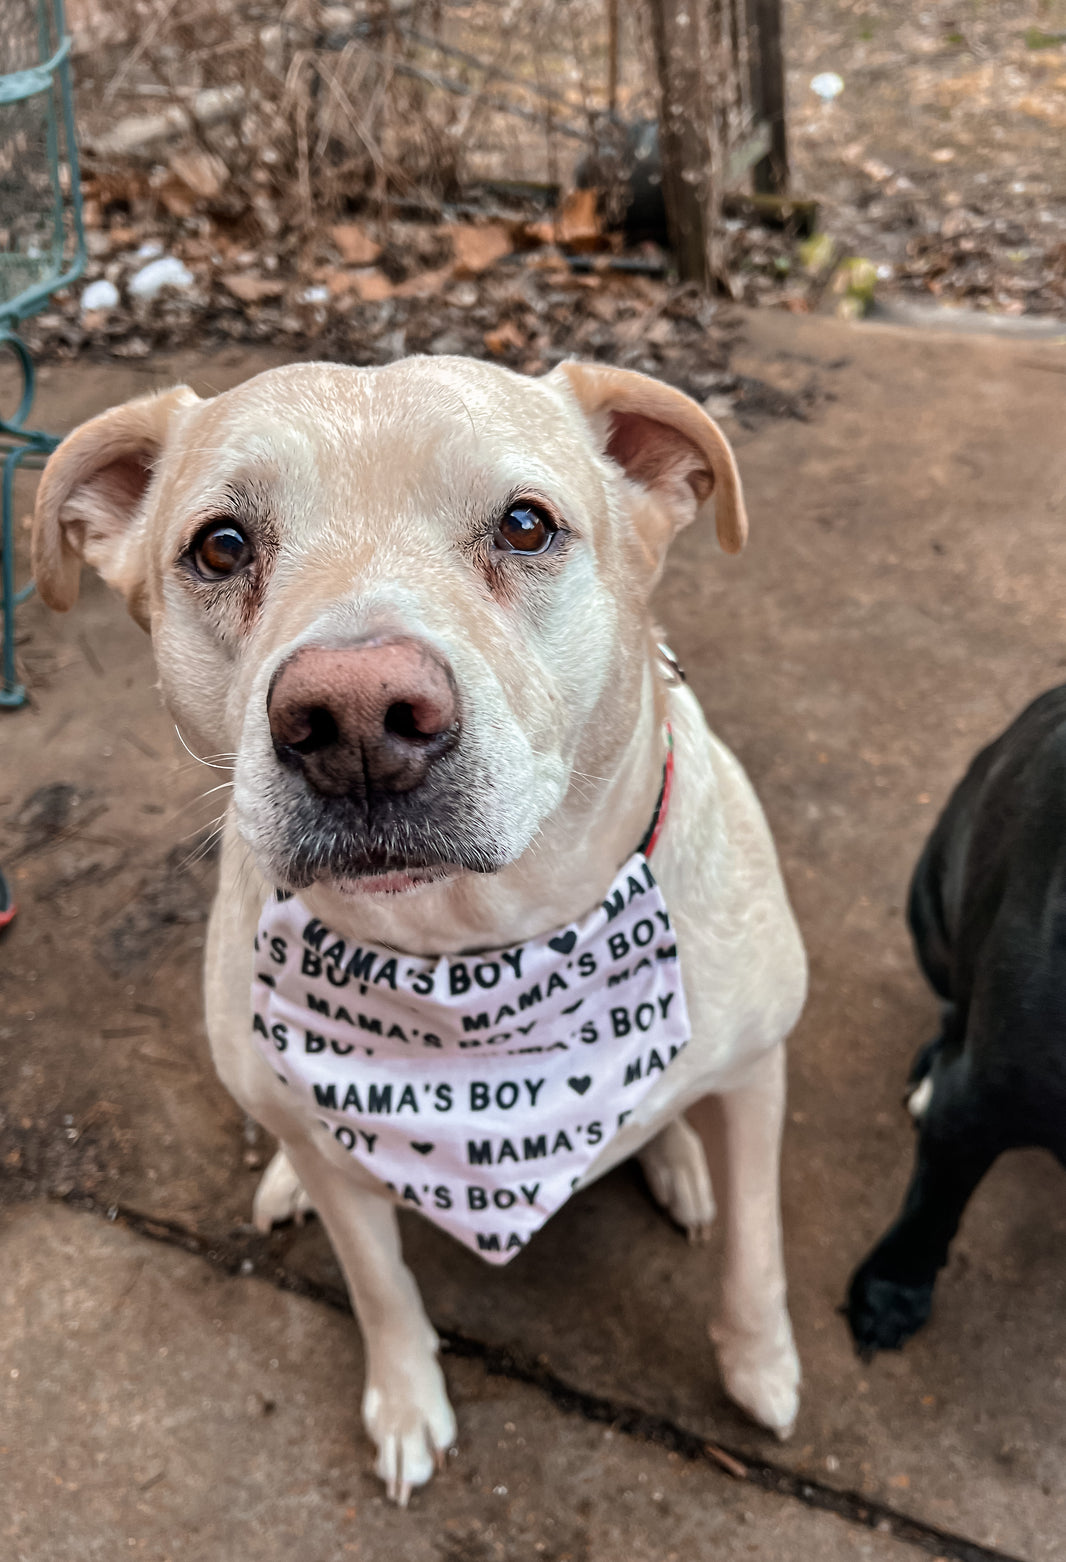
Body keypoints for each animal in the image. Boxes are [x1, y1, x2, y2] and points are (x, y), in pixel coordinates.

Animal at [33, 354, 806, 1499]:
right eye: (221, 545)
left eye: (526, 525)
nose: (354, 718)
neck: (470, 955)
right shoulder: (341, 1159)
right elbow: (380, 1283)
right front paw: (405, 1403)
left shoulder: (757, 1073)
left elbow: (756, 1252)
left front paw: (760, 1367)